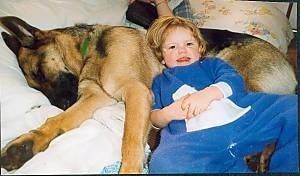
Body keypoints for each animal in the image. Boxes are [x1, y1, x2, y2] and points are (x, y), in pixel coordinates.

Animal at [0, 15, 296, 173]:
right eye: (35, 85)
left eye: (39, 72)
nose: (62, 103)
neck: (89, 52)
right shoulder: (96, 97)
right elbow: (58, 122)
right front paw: (24, 145)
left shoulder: (136, 92)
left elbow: (130, 142)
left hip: (238, 77)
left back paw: (260, 157)